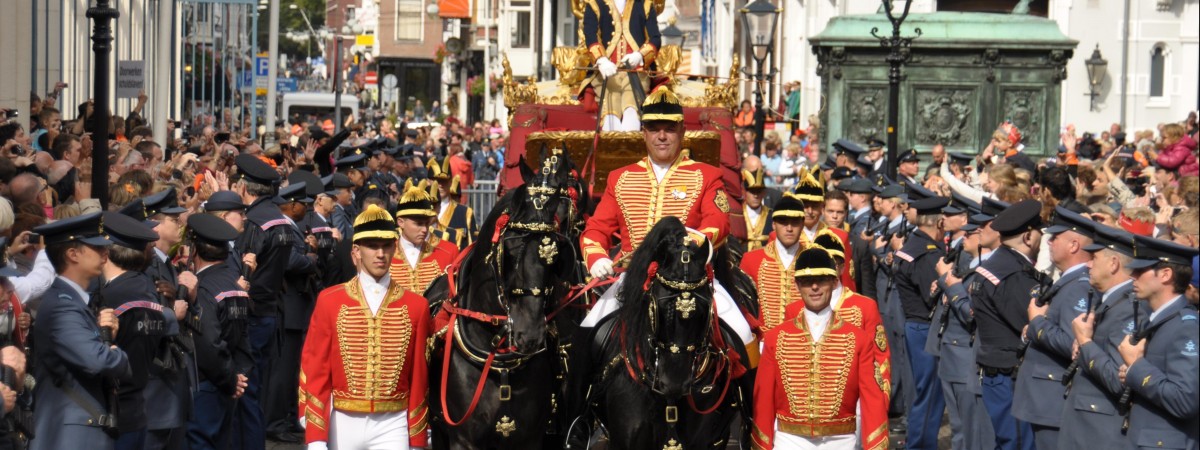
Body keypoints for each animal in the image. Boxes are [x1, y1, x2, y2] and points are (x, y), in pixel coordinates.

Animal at [432, 150, 580, 448]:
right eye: (509, 249)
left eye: (554, 254)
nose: (530, 333)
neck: (499, 362)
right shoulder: (462, 439)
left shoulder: (531, 438)